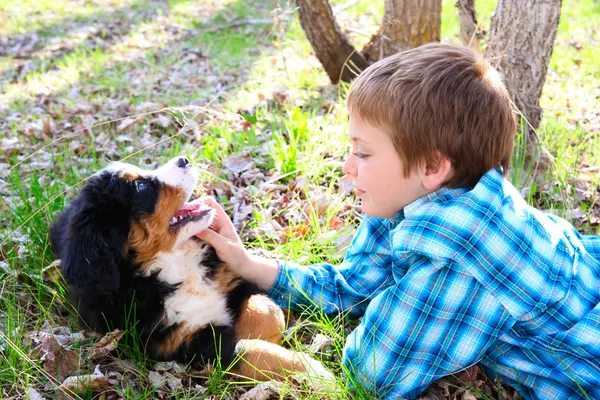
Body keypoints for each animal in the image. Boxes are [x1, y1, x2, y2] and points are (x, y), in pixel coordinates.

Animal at [50, 156, 332, 382]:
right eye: (140, 187)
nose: (184, 159)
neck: (174, 263)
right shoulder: (180, 341)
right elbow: (248, 350)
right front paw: (312, 371)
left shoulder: (227, 280)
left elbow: (266, 312)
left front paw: (270, 337)